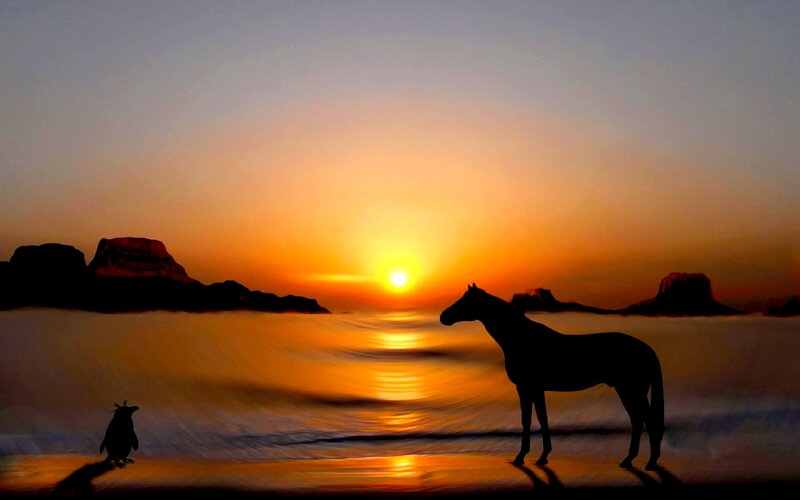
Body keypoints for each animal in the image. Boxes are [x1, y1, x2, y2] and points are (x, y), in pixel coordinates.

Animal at [440, 284, 663, 470]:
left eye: (465, 301)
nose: (443, 316)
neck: (520, 338)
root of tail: (647, 349)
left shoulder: (527, 387)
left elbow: (529, 419)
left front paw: (522, 456)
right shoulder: (535, 389)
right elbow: (541, 418)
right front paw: (542, 456)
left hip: (630, 389)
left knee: (645, 419)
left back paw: (649, 462)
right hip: (627, 390)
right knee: (638, 420)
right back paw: (629, 459)